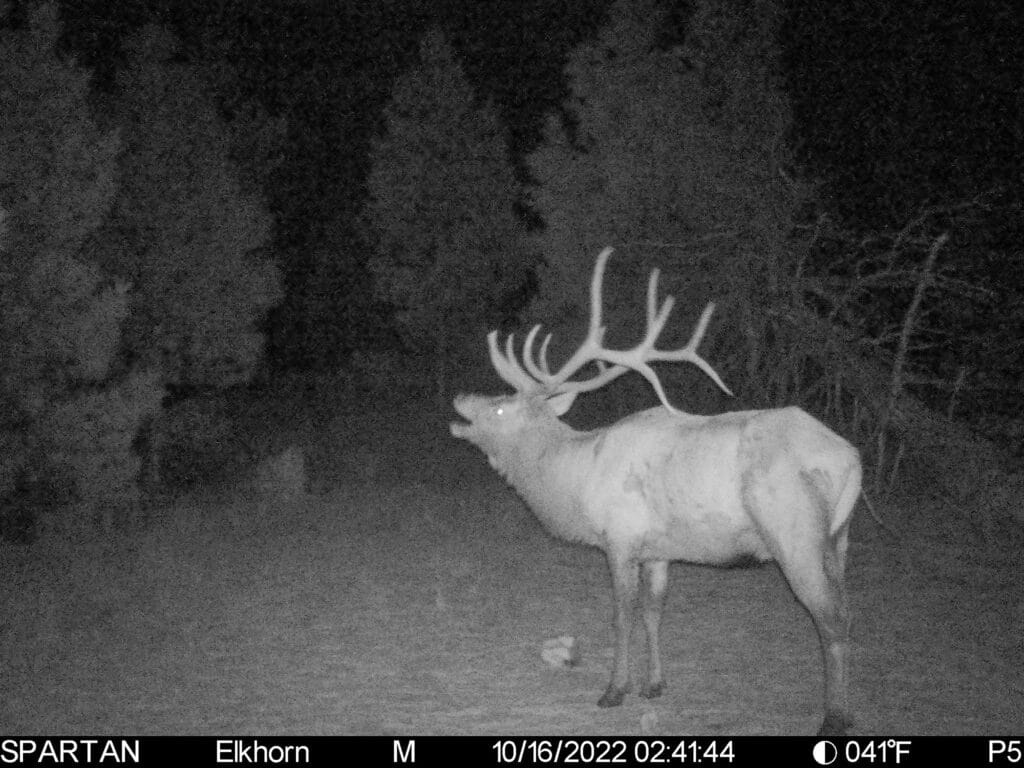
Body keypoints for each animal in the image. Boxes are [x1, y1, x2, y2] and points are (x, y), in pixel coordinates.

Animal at [449, 247, 861, 736]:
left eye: (499, 407)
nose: (459, 398)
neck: (575, 479)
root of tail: (851, 459)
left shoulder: (620, 537)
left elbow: (622, 616)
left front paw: (613, 691)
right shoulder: (659, 549)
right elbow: (653, 613)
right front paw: (655, 685)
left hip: (796, 534)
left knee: (831, 619)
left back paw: (834, 718)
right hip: (839, 540)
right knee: (846, 610)